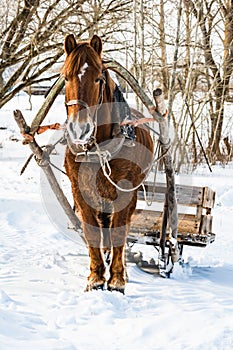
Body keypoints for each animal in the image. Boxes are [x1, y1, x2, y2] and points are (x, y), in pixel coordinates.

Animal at [62, 34, 154, 292]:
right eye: (65, 77)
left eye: (99, 78)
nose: (79, 129)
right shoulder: (80, 192)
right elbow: (92, 232)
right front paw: (95, 277)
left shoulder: (125, 192)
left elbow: (118, 233)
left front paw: (116, 280)